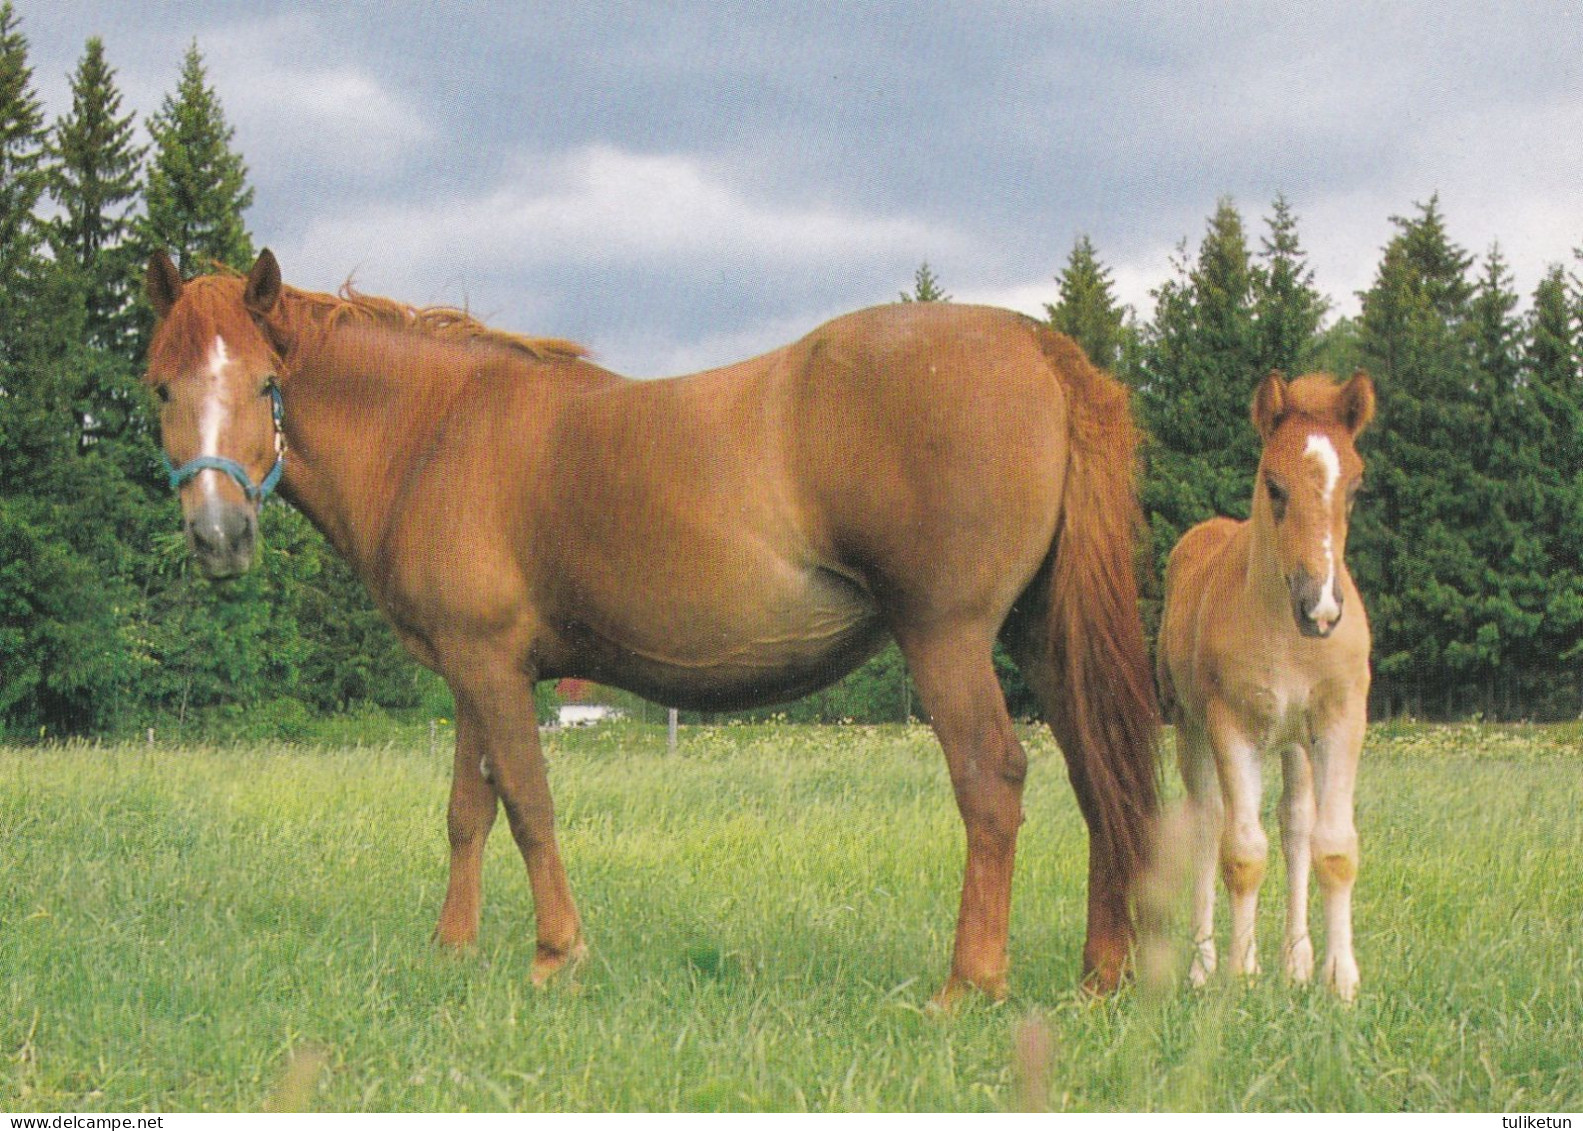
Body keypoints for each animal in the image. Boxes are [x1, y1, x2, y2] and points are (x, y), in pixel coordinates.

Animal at [145, 247, 1165, 994]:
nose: (218, 535)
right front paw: (452, 949)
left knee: (992, 780)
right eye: (160, 386)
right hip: (1042, 637)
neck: (437, 431)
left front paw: (555, 954)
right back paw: (1099, 975)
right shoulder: (475, 669)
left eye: (266, 382)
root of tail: (1037, 349)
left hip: (944, 635)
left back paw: (969, 983)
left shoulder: (488, 664)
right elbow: (468, 810)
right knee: (1095, 774)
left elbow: (527, 801)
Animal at [1158, 370, 1367, 994]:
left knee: (1296, 824)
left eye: (1355, 488)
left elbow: (1334, 847)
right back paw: (1202, 965)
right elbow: (1243, 853)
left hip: (1295, 742)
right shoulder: (1232, 727)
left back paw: (1297, 961)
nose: (1320, 607)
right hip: (1191, 730)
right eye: (1274, 486)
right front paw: (1240, 972)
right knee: (1206, 825)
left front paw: (1338, 979)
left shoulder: (1341, 721)